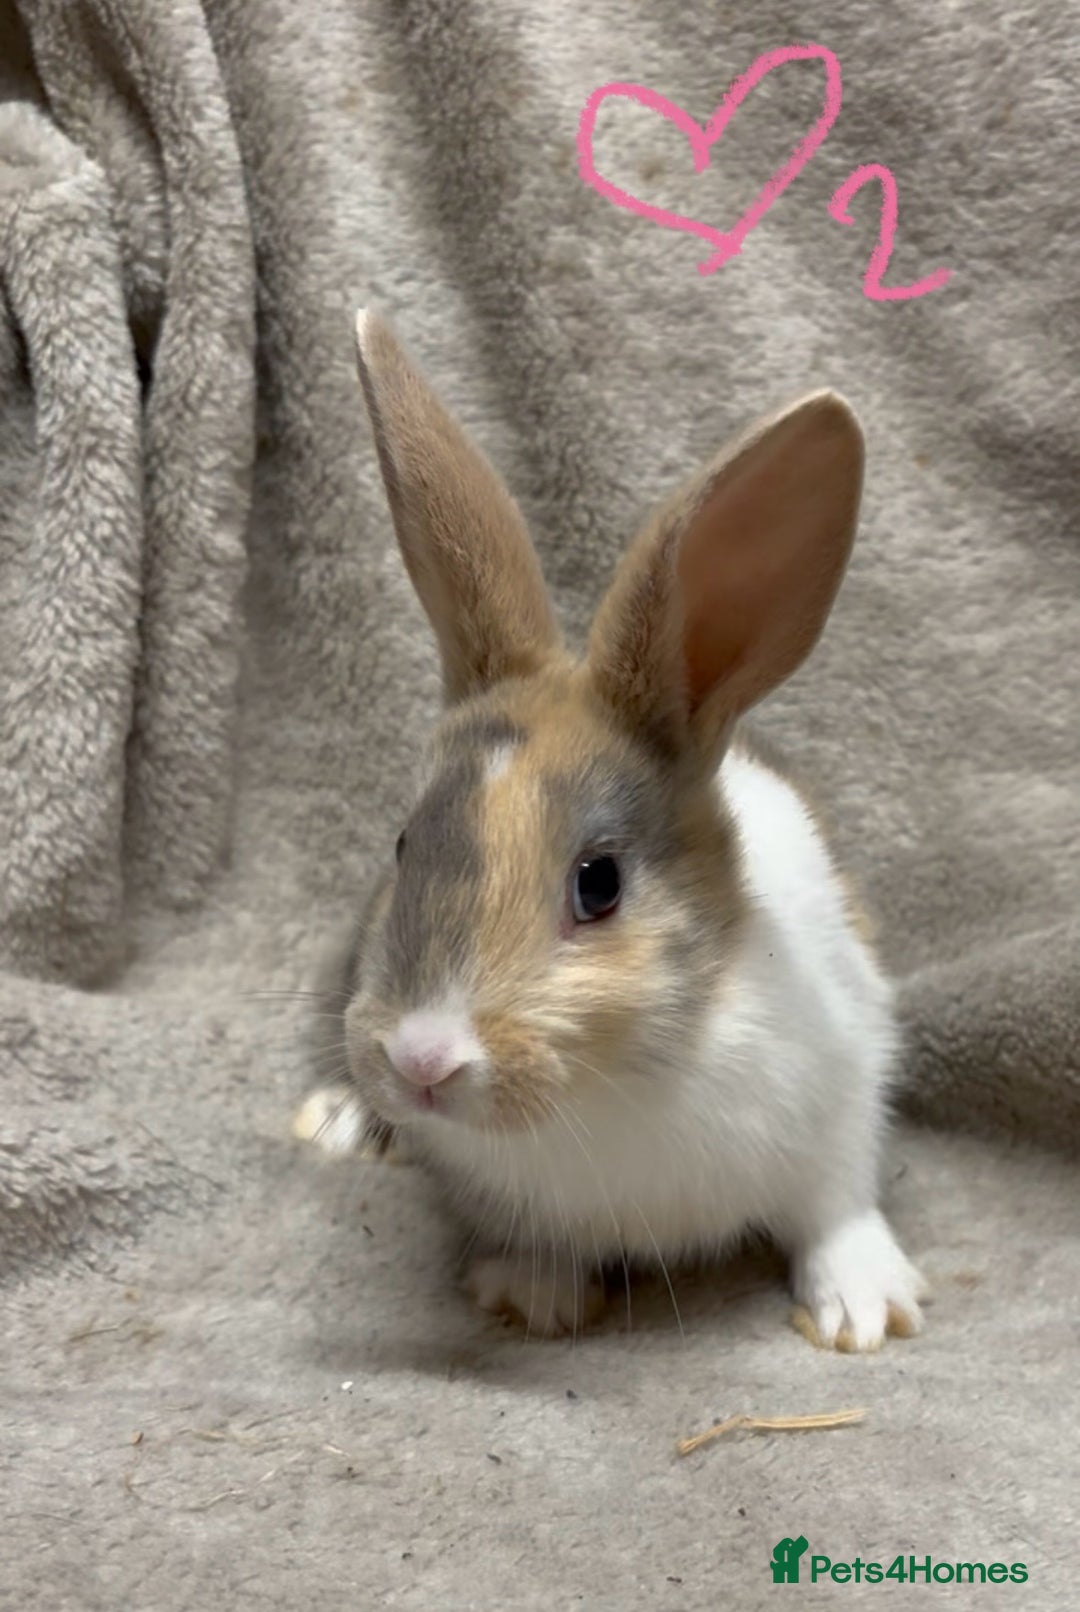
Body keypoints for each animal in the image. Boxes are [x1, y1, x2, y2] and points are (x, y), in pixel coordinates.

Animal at [318, 307, 928, 1350]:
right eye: (403, 845)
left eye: (598, 882)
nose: (423, 1061)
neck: (616, 1085)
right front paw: (532, 1294)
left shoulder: (847, 1087)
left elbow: (837, 1204)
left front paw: (865, 1313)